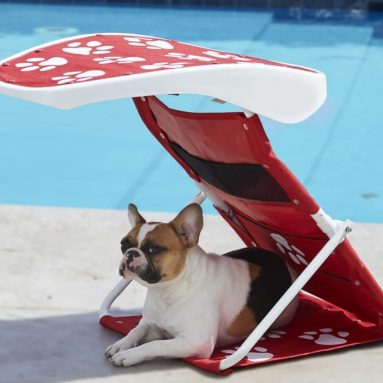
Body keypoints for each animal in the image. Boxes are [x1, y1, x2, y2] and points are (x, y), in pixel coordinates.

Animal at [106, 202, 300, 368]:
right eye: (124, 244)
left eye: (154, 249)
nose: (131, 253)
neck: (167, 290)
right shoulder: (151, 324)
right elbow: (135, 331)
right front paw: (121, 344)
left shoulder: (196, 341)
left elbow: (156, 345)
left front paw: (130, 354)